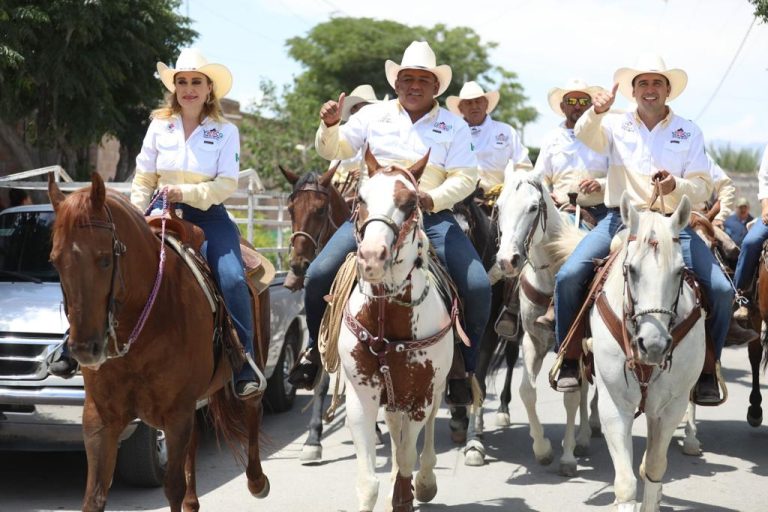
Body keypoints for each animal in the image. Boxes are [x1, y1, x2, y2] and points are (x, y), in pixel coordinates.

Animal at [48, 174, 270, 510]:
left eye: (104, 260)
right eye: (55, 261)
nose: (85, 350)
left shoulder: (175, 416)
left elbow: (173, 488)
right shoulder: (99, 419)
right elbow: (94, 495)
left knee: (253, 406)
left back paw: (257, 481)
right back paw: (194, 502)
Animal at [340, 149, 452, 512]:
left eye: (410, 201)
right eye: (360, 197)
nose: (372, 257)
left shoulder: (420, 396)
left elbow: (405, 456)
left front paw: (405, 494)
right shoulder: (361, 395)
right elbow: (368, 483)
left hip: (436, 388)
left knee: (425, 434)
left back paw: (426, 480)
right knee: (393, 426)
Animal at [496, 173, 596, 476]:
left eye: (532, 208)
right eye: (499, 206)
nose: (507, 260)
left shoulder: (572, 345)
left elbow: (572, 396)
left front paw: (568, 456)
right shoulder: (533, 341)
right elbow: (526, 392)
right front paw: (542, 449)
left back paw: (585, 436)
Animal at [592, 194, 704, 510]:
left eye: (680, 271)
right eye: (631, 269)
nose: (653, 346)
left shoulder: (672, 406)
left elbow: (654, 467)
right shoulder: (614, 403)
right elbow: (626, 484)